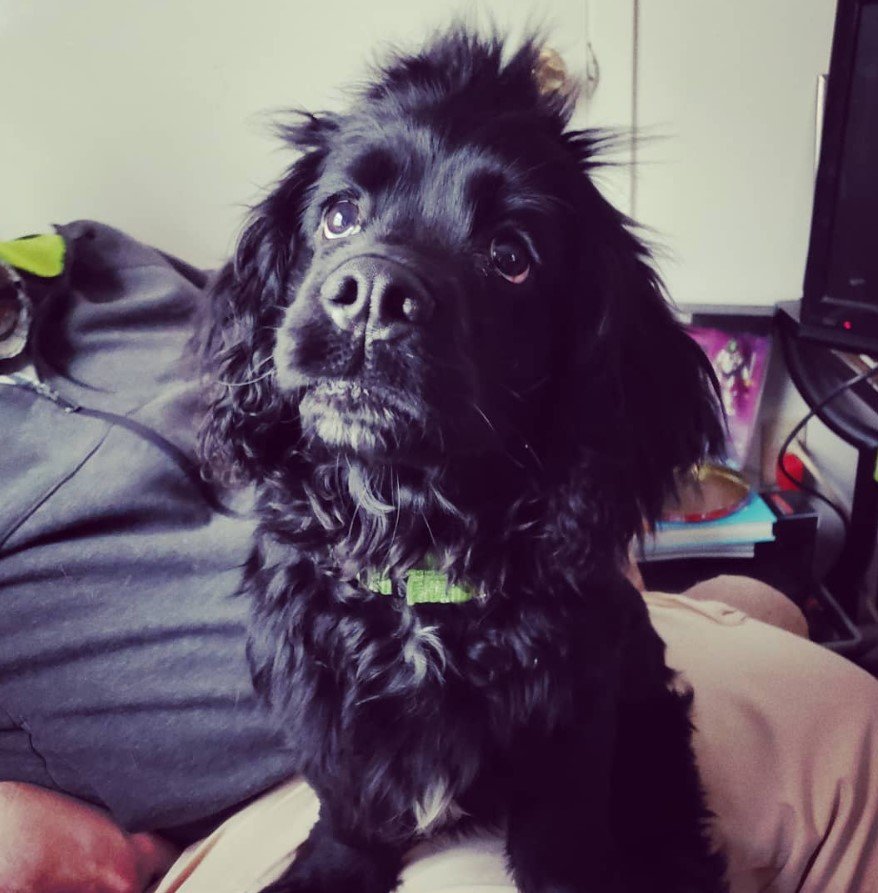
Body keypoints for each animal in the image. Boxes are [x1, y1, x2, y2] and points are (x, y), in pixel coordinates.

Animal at [198, 27, 728, 892]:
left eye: (511, 255)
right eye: (339, 214)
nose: (372, 292)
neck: (416, 560)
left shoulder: (573, 718)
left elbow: (561, 837)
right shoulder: (325, 697)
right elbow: (348, 806)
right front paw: (328, 867)